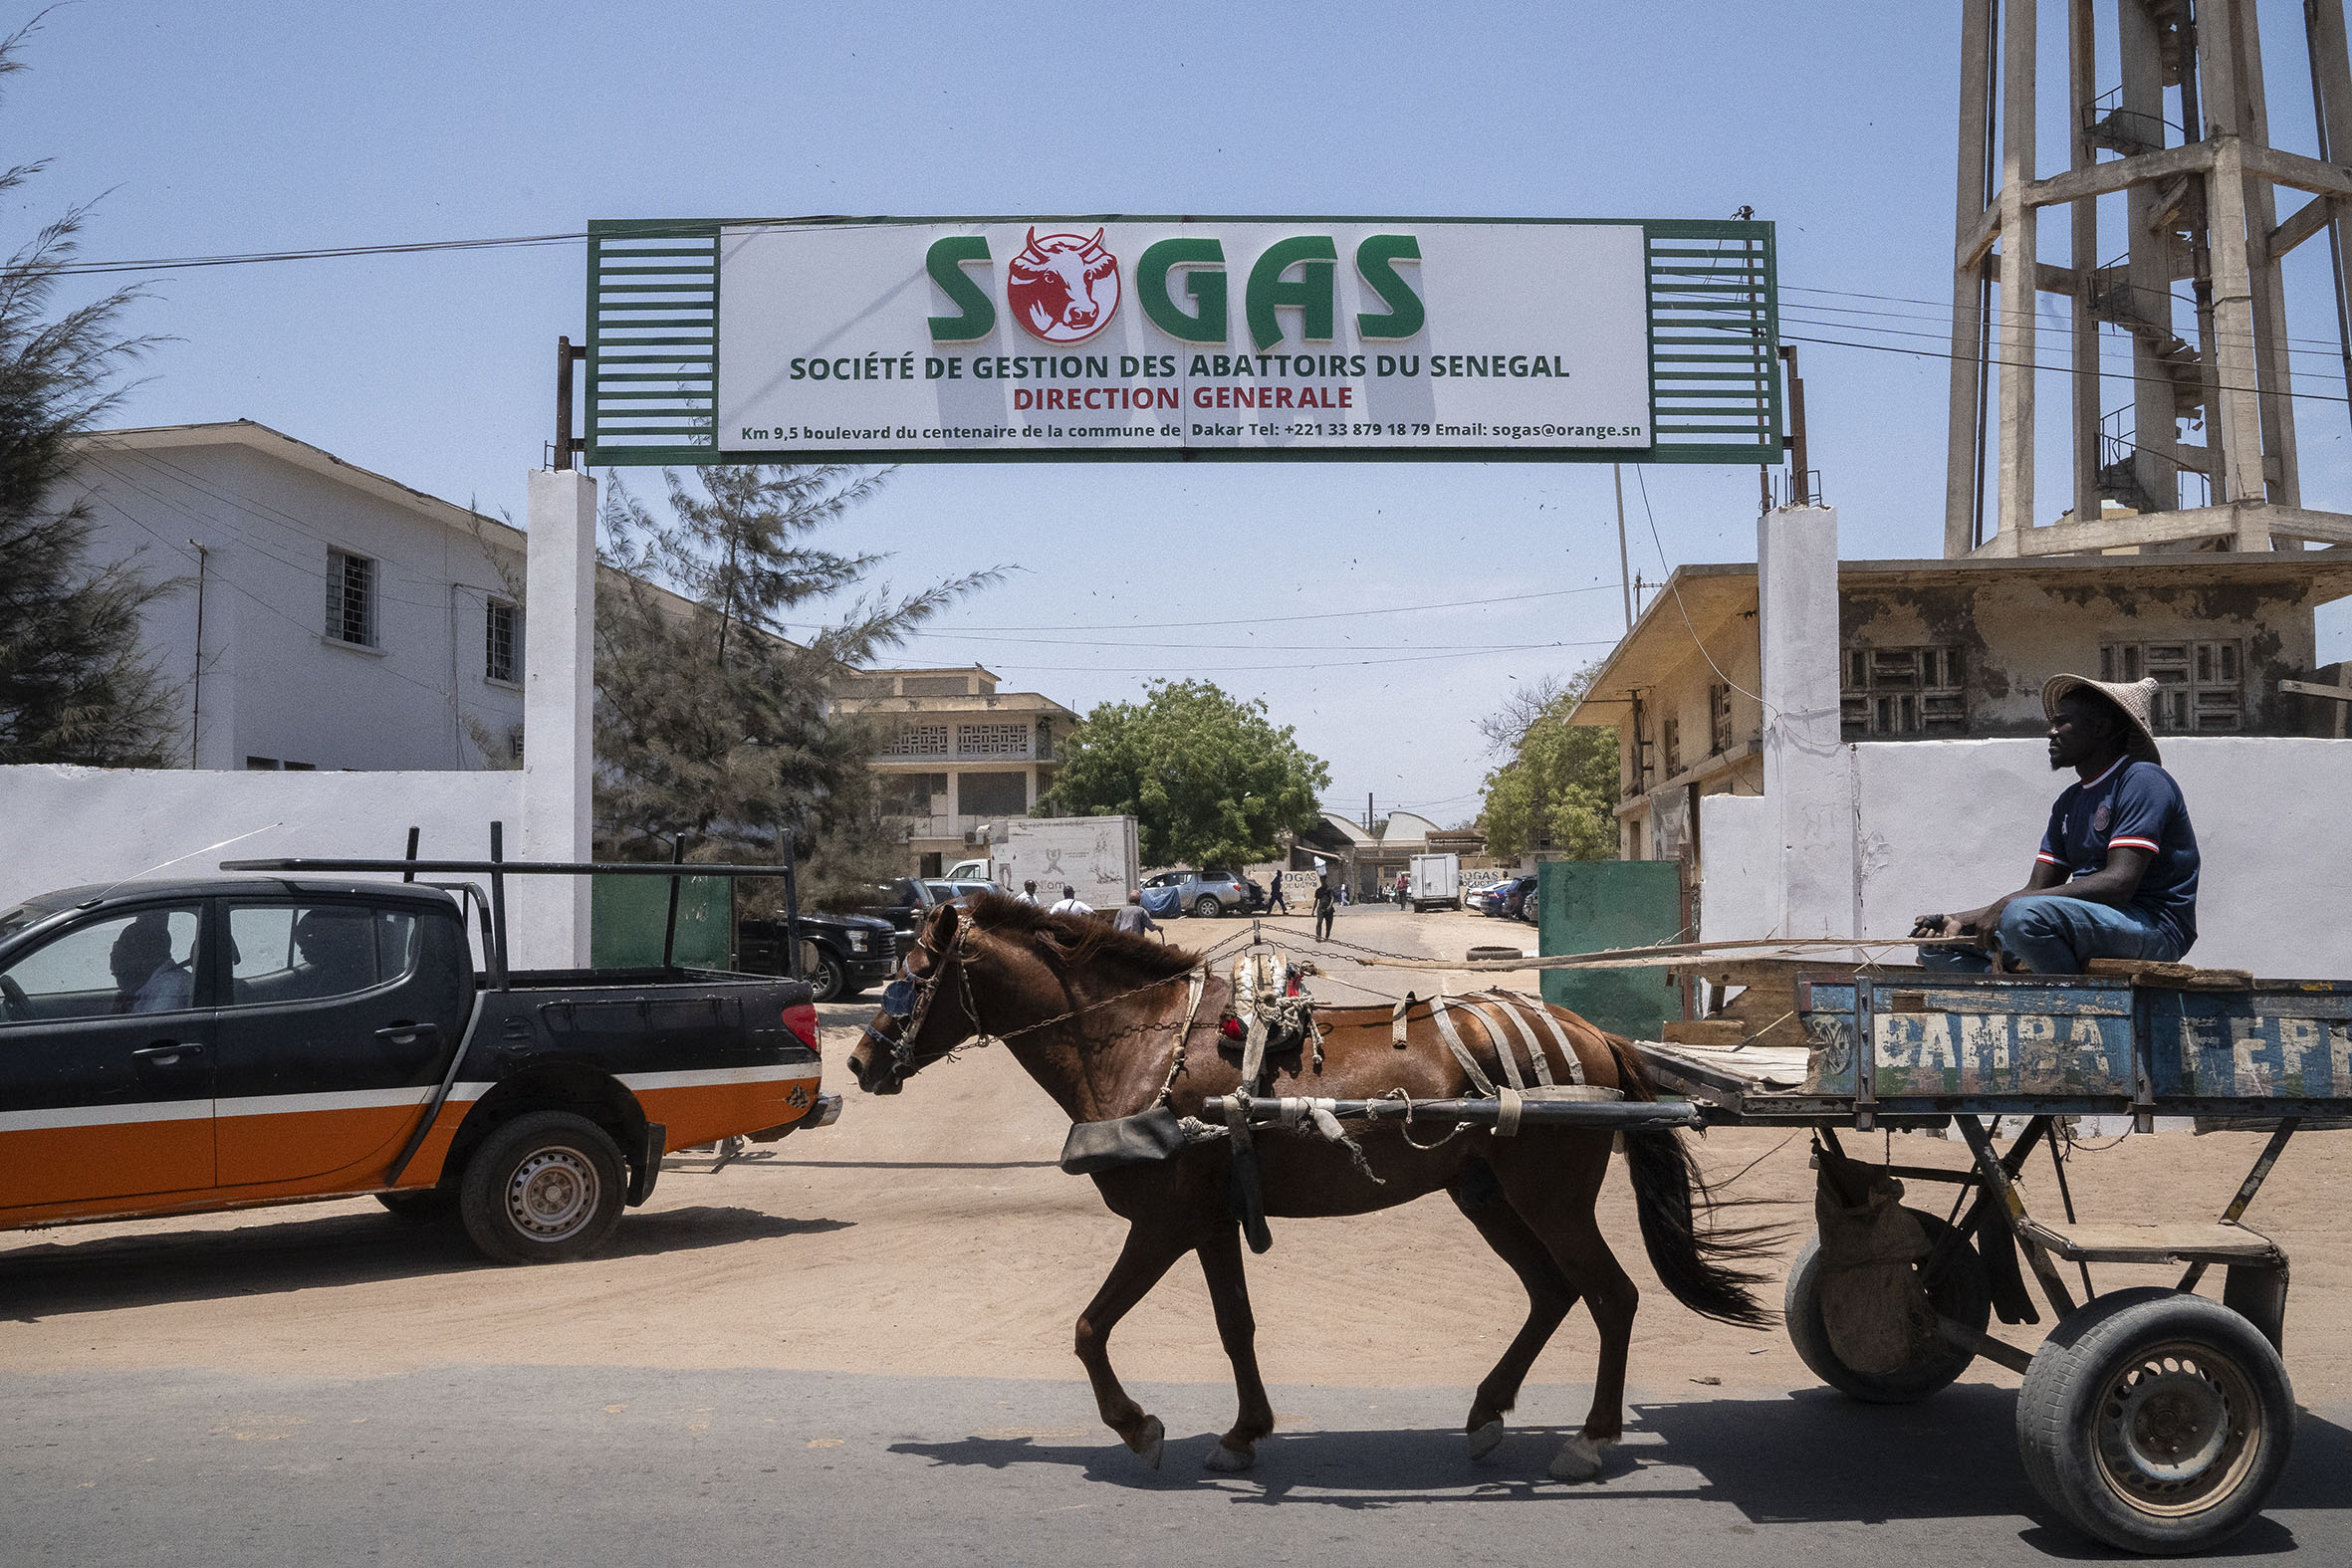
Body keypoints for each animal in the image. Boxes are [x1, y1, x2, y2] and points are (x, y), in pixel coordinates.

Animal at [847, 891, 1773, 1481]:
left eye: (915, 971)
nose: (859, 1061)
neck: (1140, 1043)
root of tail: (1593, 1034)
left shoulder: (1165, 1219)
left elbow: (1088, 1326)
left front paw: (1139, 1426)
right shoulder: (1211, 1220)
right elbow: (1235, 1326)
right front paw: (1243, 1433)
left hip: (1550, 1197)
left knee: (1611, 1296)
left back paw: (1589, 1438)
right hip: (1484, 1192)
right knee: (1552, 1291)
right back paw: (1487, 1412)